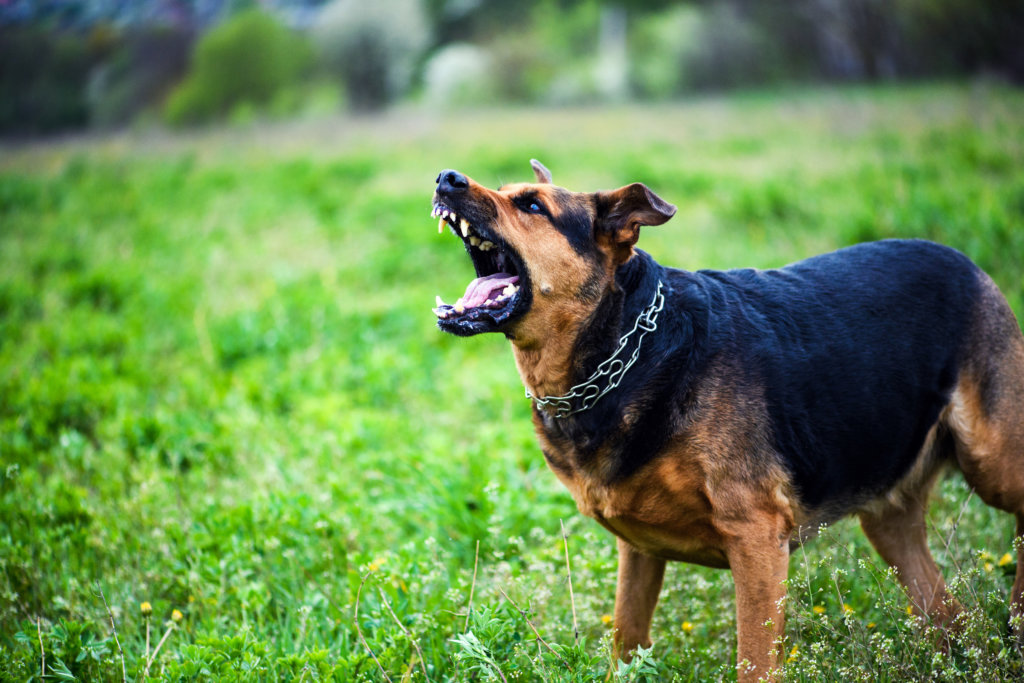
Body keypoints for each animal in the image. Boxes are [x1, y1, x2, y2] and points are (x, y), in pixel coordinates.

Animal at [425, 161, 1024, 683]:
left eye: (531, 205)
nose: (446, 178)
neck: (622, 349)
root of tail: (965, 261)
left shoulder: (756, 540)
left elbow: (754, 662)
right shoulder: (638, 553)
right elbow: (626, 641)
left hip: (991, 461)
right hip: (888, 514)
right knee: (948, 615)